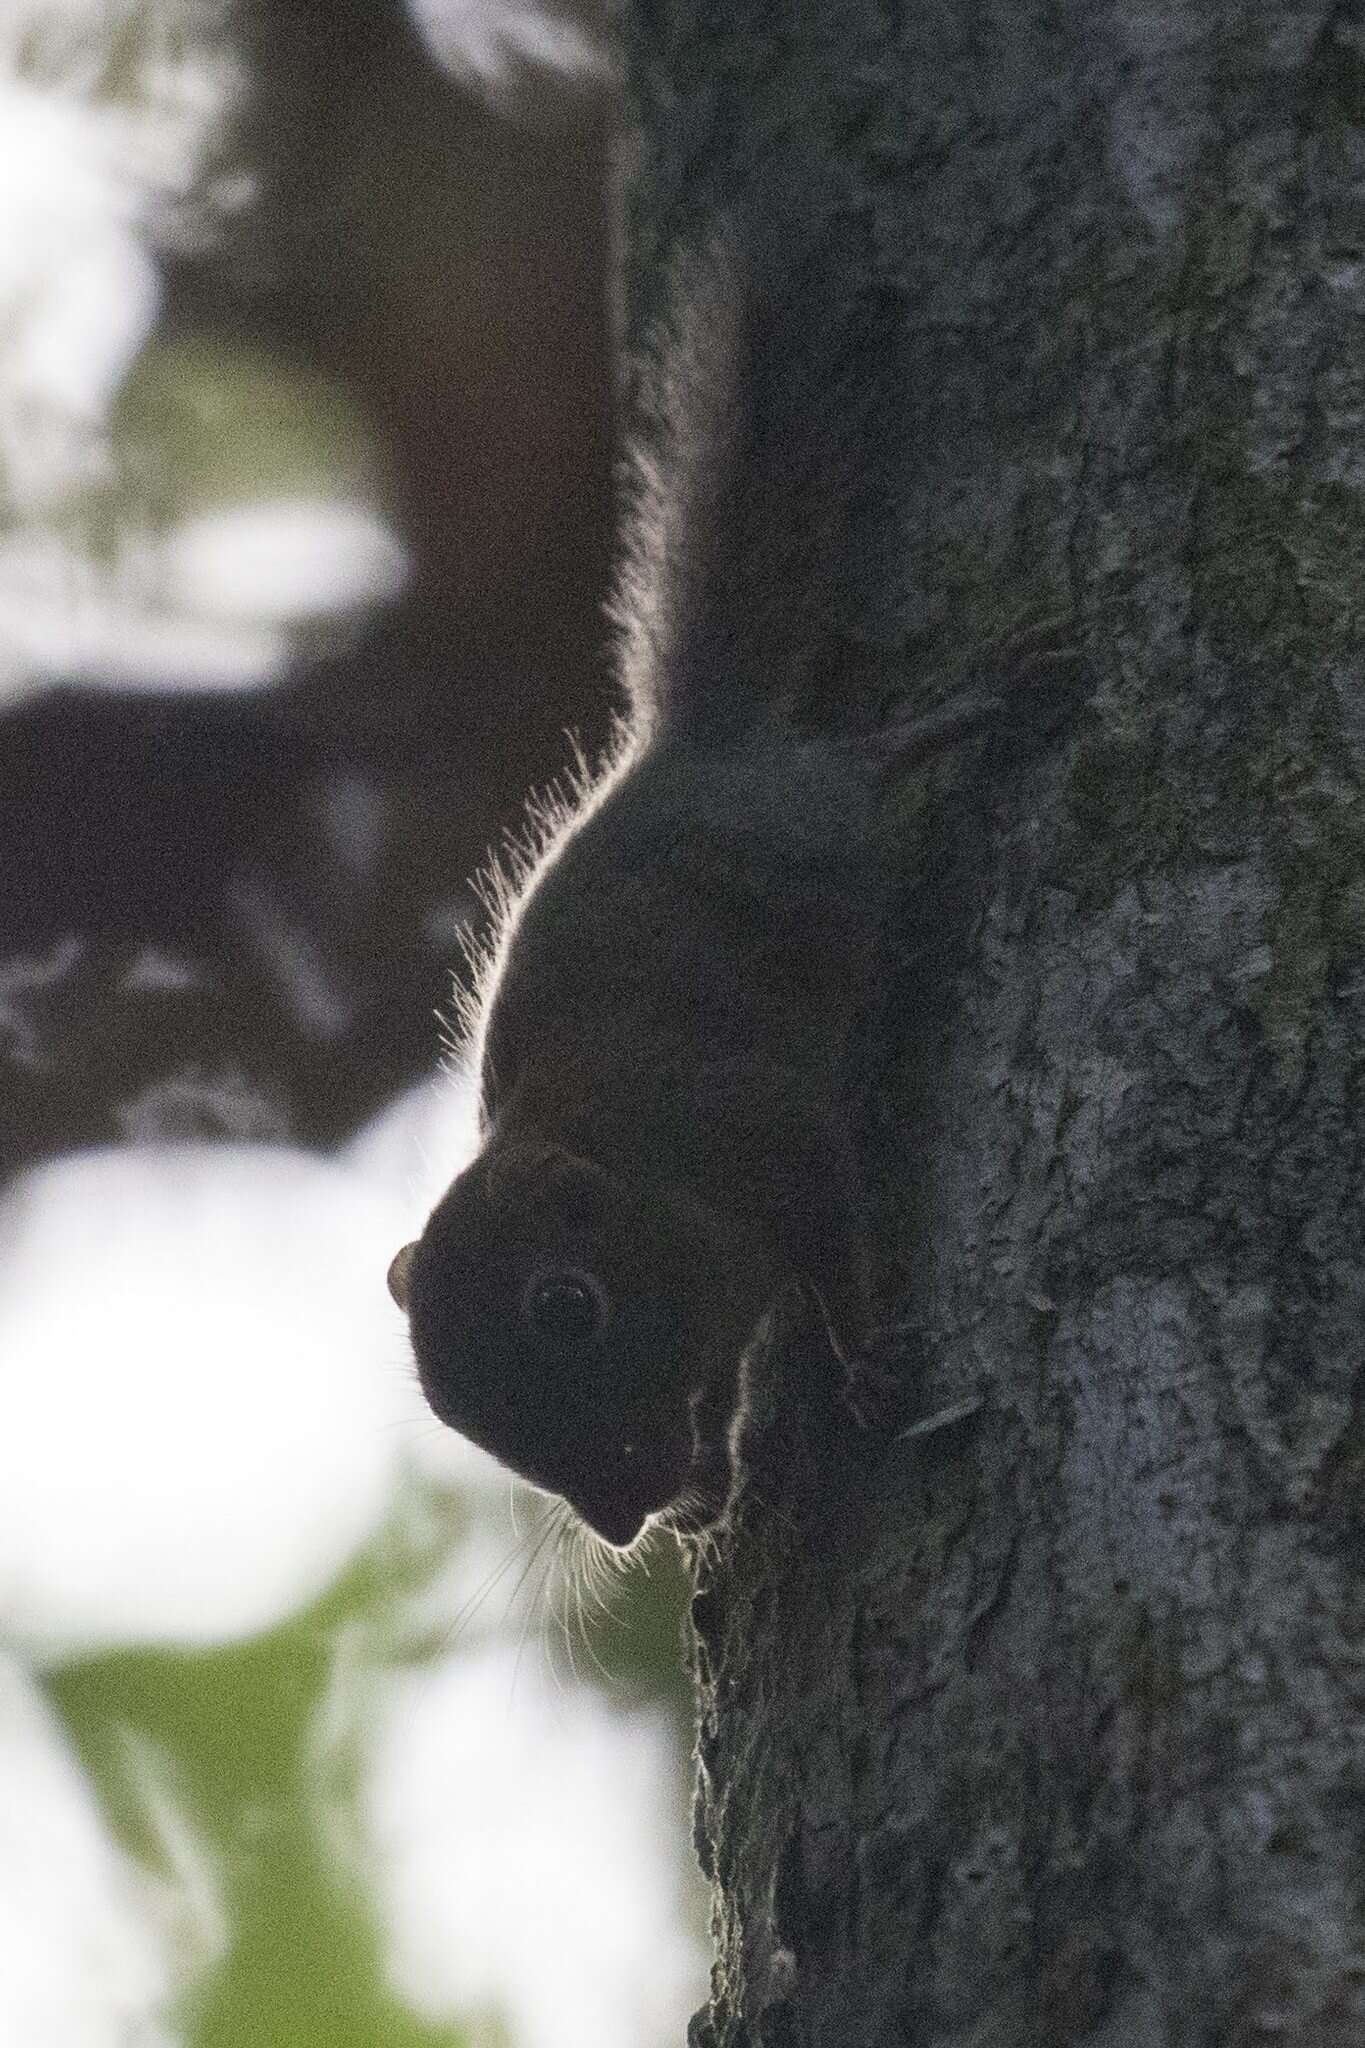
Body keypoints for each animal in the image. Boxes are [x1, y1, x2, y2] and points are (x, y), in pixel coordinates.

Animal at [386, 199, 1080, 1556]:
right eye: (448, 1409)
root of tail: (691, 743)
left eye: (568, 1305)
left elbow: (829, 1220)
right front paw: (714, 1492)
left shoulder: (755, 1122)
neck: (639, 1168)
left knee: (865, 763)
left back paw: (990, 705)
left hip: (811, 828)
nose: (620, 1518)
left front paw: (863, 1358)